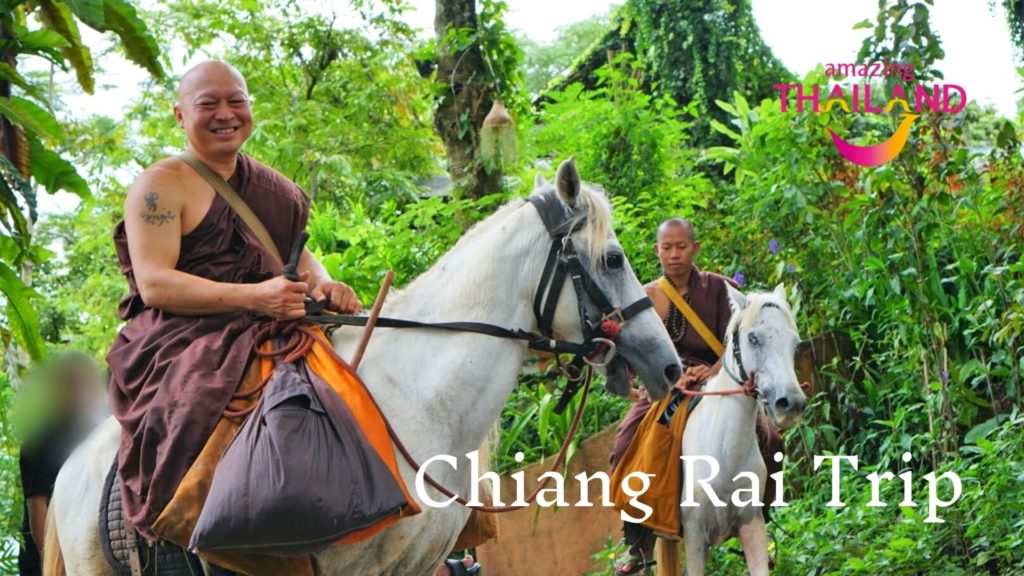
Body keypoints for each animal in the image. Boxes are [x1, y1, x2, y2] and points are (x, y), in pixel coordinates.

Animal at [655, 282, 806, 573]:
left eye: (795, 344)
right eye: (754, 339)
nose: (791, 404)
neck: (724, 455)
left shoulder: (751, 523)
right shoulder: (694, 535)